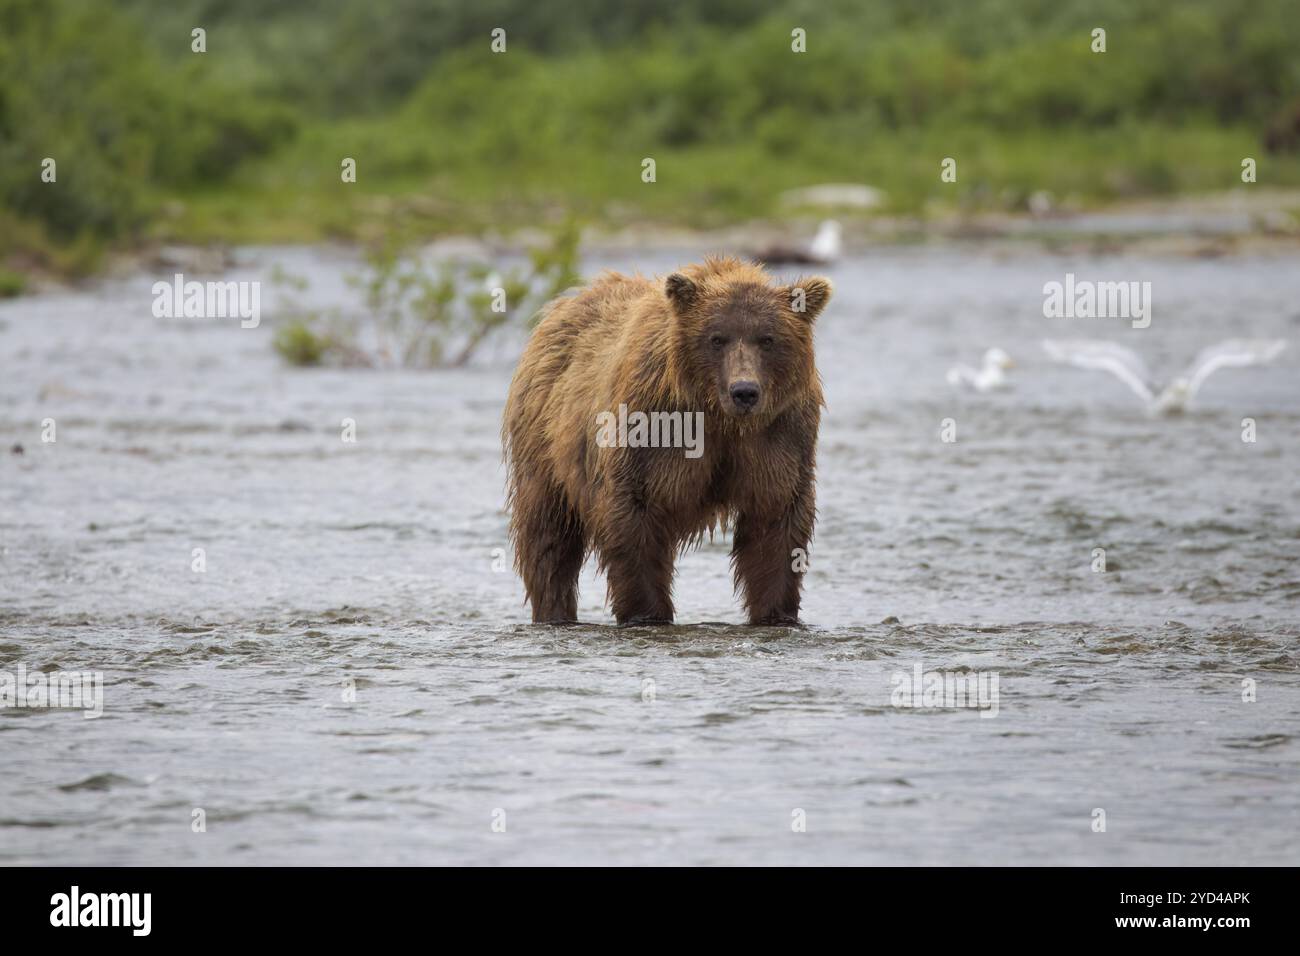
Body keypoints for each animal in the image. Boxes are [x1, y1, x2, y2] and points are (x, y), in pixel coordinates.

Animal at [501, 256, 826, 629]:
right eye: (717, 338)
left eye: (768, 339)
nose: (744, 391)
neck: (719, 420)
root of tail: (563, 305)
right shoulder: (653, 429)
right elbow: (634, 516)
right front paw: (645, 614)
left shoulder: (779, 437)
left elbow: (777, 521)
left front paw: (777, 614)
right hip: (544, 445)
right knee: (548, 537)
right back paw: (554, 613)